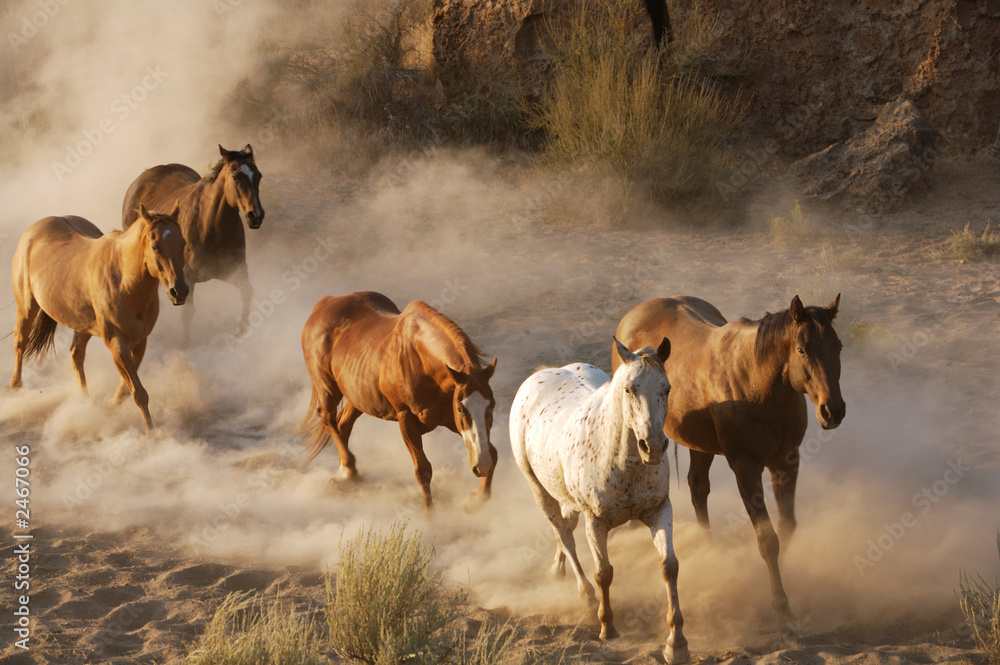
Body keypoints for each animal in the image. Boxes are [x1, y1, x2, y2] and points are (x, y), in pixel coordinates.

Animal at [9, 204, 188, 430]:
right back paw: (15, 388)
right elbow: (138, 392)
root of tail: (34, 229)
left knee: (76, 354)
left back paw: (84, 402)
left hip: (82, 325)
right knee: (20, 343)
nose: (179, 292)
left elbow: (126, 391)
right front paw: (151, 433)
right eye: (155, 246)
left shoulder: (140, 341)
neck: (124, 280)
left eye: (182, 243)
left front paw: (107, 407)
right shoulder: (116, 341)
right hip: (26, 307)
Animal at [121, 144, 266, 342]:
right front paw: (186, 343)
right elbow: (188, 313)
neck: (211, 226)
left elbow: (247, 291)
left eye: (258, 176)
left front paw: (242, 332)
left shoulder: (236, 270)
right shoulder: (186, 278)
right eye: (236, 176)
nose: (256, 215)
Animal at [296, 290, 500, 508]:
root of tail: (325, 303)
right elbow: (423, 470)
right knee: (328, 418)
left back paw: (345, 473)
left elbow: (493, 452)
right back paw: (349, 469)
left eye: (492, 406)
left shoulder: (449, 420)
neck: (421, 360)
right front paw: (431, 515)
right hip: (327, 388)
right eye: (461, 408)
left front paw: (476, 499)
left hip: (356, 397)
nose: (481, 466)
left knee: (343, 424)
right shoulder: (407, 419)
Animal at [508, 338, 688, 664]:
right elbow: (604, 572)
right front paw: (608, 628)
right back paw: (586, 596)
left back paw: (557, 569)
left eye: (667, 388)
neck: (621, 460)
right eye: (629, 388)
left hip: (566, 497)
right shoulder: (596, 521)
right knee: (563, 534)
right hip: (539, 489)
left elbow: (669, 566)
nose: (653, 446)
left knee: (565, 527)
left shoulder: (659, 510)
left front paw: (676, 642)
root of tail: (542, 373)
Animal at [616, 294, 844, 620]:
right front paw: (780, 602)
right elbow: (767, 539)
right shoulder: (745, 469)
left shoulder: (786, 463)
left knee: (698, 488)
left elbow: (787, 526)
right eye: (802, 349)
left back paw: (709, 548)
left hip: (700, 445)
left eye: (838, 347)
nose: (833, 410)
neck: (758, 385)